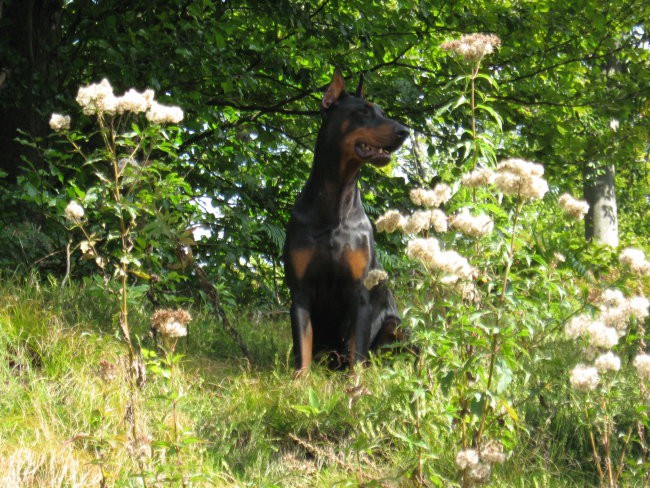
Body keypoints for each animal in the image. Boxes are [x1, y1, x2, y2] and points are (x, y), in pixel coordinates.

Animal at [282, 68, 404, 372]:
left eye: (382, 112)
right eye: (363, 112)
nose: (404, 132)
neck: (335, 204)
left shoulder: (359, 295)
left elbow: (356, 355)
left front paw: (356, 384)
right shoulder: (300, 293)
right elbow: (302, 350)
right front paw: (300, 381)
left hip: (396, 326)